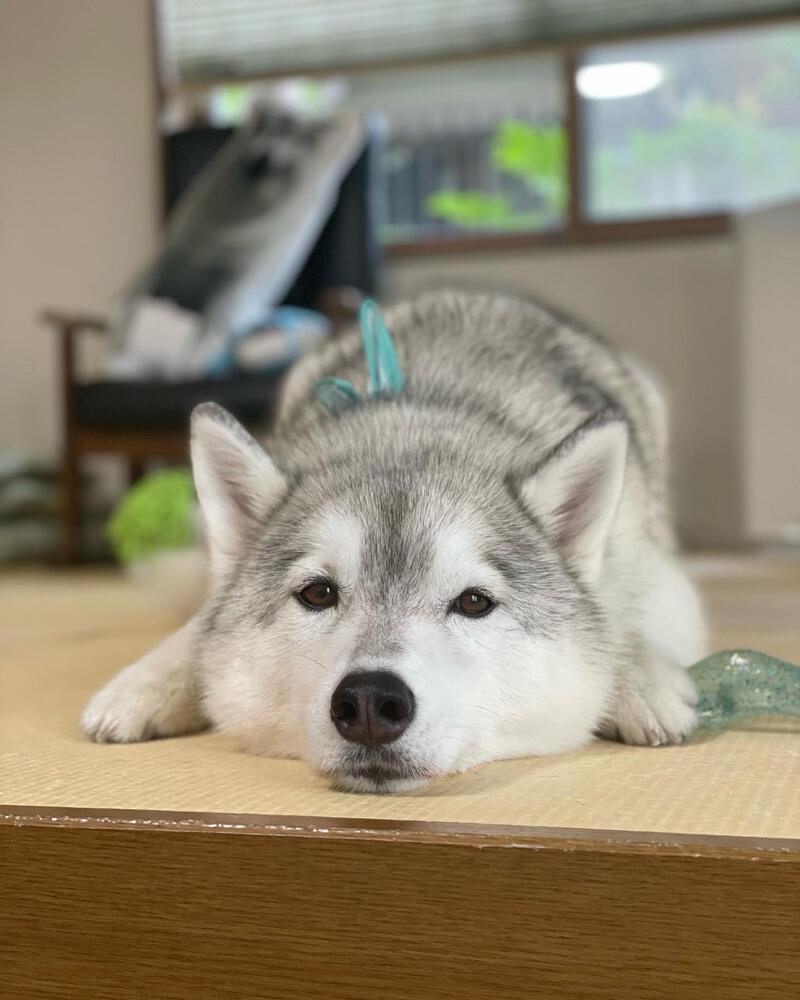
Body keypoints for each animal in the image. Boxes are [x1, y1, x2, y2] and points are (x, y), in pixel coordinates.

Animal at [83, 292, 708, 792]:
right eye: (318, 593)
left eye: (474, 602)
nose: (367, 701)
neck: (412, 425)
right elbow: (198, 631)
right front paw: (147, 684)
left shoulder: (658, 577)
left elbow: (623, 618)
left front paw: (641, 681)